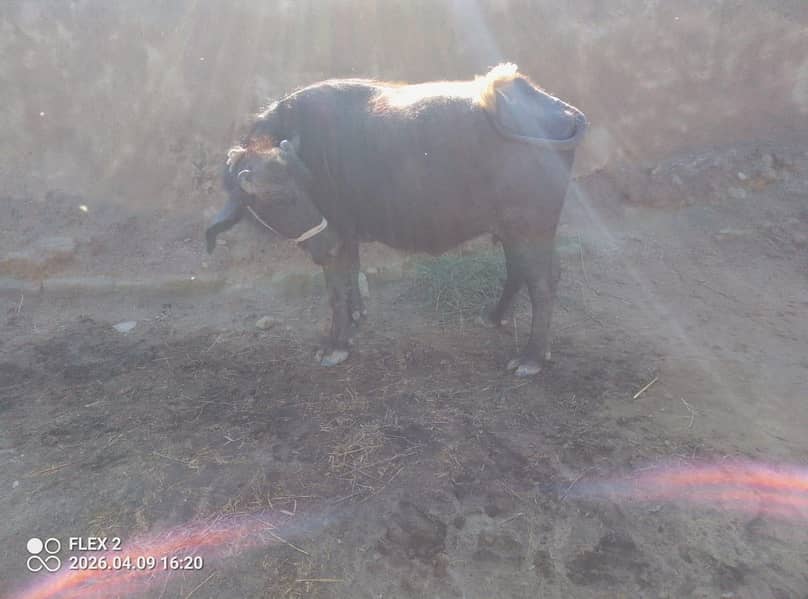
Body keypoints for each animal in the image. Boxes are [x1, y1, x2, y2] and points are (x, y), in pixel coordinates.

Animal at [207, 63, 588, 376]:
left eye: (300, 185)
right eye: (281, 196)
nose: (325, 242)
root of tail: (558, 107)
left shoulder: (339, 234)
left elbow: (336, 290)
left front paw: (336, 345)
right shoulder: (347, 235)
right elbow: (351, 275)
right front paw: (356, 318)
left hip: (530, 227)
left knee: (543, 282)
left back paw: (531, 357)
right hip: (514, 228)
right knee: (520, 270)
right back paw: (495, 317)